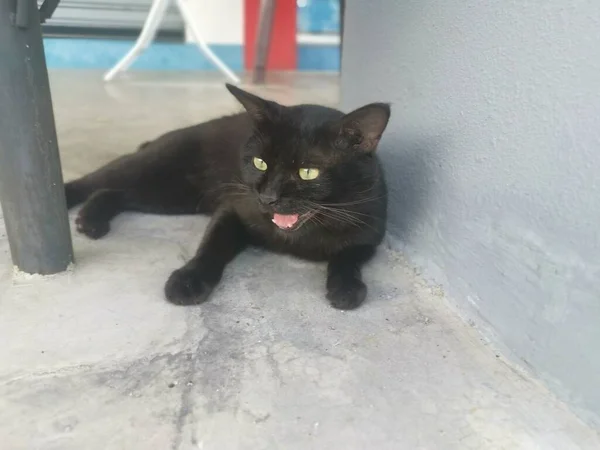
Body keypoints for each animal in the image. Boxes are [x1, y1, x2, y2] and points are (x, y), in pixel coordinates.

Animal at [64, 84, 390, 310]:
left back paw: (90, 221)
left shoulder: (368, 236)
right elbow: (212, 247)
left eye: (308, 172)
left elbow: (348, 258)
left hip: (173, 196)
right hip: (156, 170)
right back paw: (72, 206)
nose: (267, 197)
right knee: (96, 181)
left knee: (116, 194)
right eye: (260, 163)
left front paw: (346, 288)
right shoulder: (234, 209)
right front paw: (188, 280)